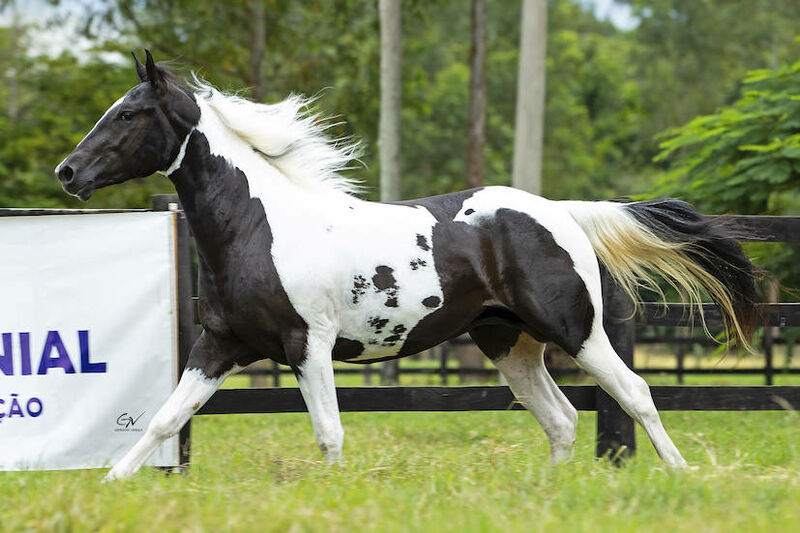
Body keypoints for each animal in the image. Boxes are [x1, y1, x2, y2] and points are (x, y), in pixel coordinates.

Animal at [54, 52, 756, 480]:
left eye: (128, 113)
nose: (67, 172)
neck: (259, 228)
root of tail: (559, 212)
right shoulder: (220, 344)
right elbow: (166, 417)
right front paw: (114, 483)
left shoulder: (307, 345)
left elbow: (329, 434)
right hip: (508, 343)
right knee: (560, 418)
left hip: (576, 330)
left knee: (634, 394)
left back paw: (680, 475)